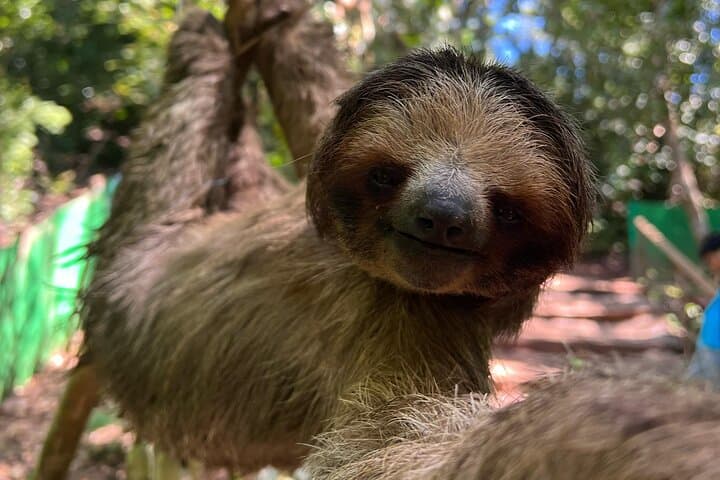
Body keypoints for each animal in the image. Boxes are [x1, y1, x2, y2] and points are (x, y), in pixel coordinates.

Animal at [76, 46, 595, 475]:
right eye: (385, 175)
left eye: (507, 210)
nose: (442, 214)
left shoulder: (412, 317)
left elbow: (389, 444)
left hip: (128, 274)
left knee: (179, 122)